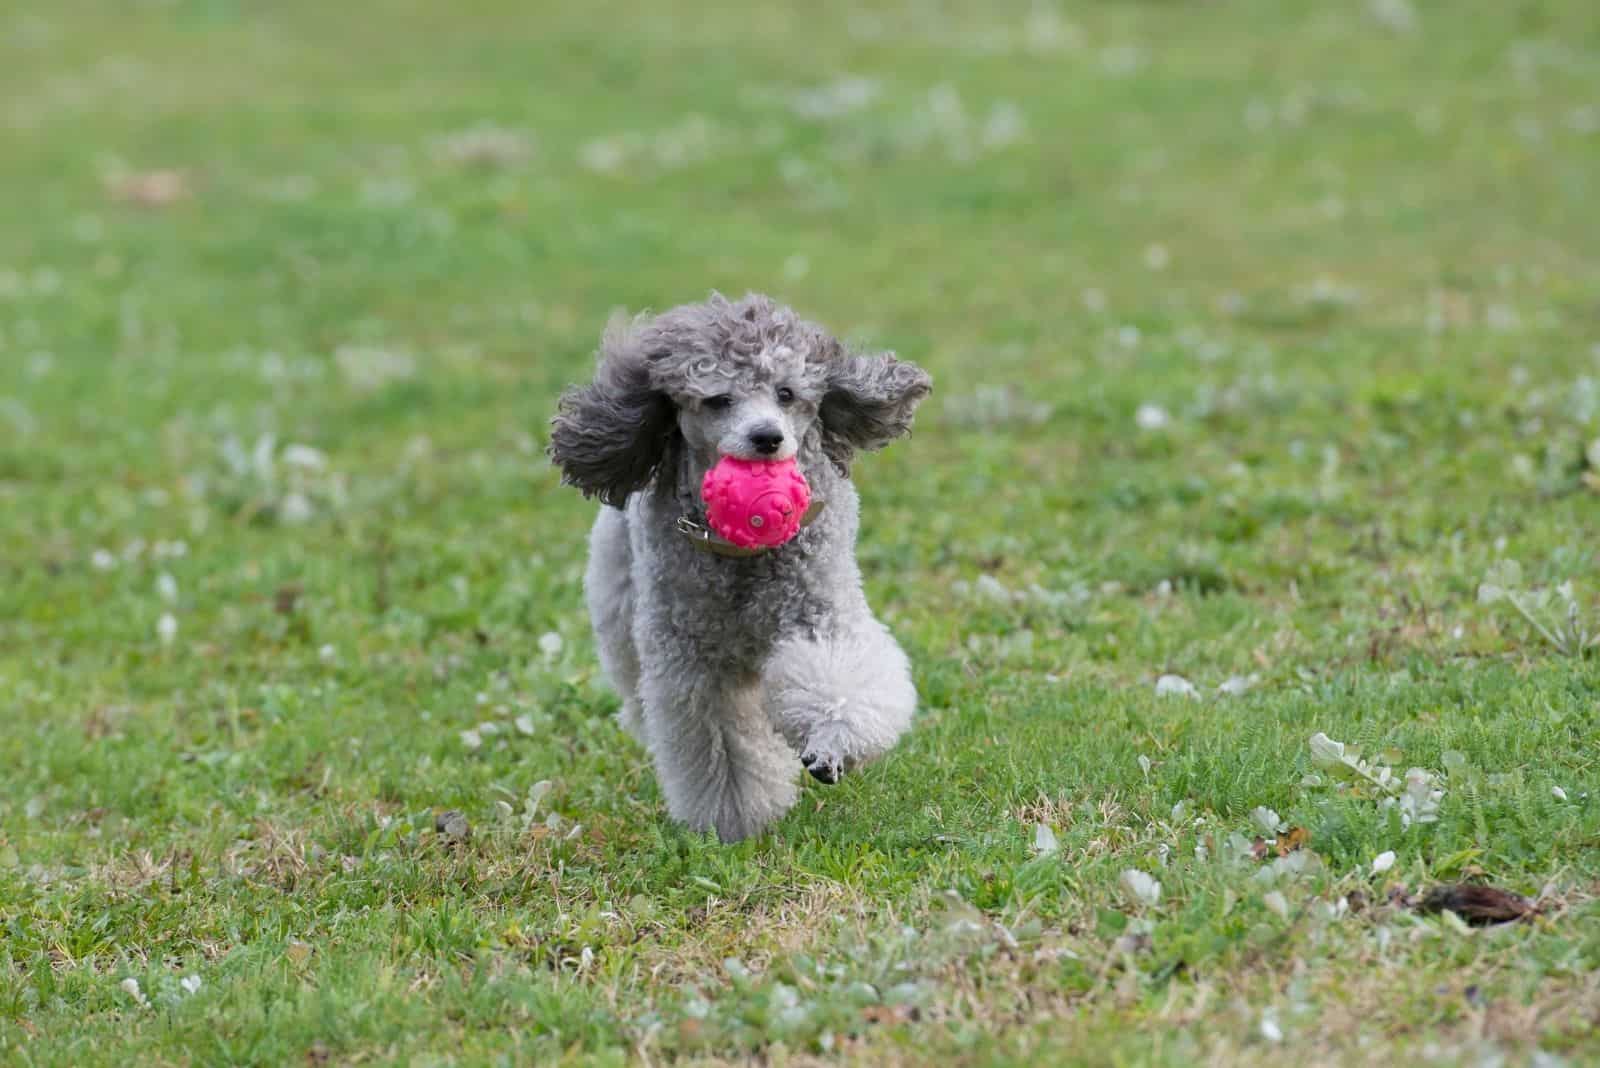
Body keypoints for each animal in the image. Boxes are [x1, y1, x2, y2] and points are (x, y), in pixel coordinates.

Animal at [550, 292, 934, 844]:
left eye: (787, 393)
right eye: (717, 400)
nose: (767, 437)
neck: (741, 555)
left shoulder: (820, 612)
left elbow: (840, 679)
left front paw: (830, 748)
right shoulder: (695, 660)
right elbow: (721, 739)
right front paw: (733, 819)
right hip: (619, 606)